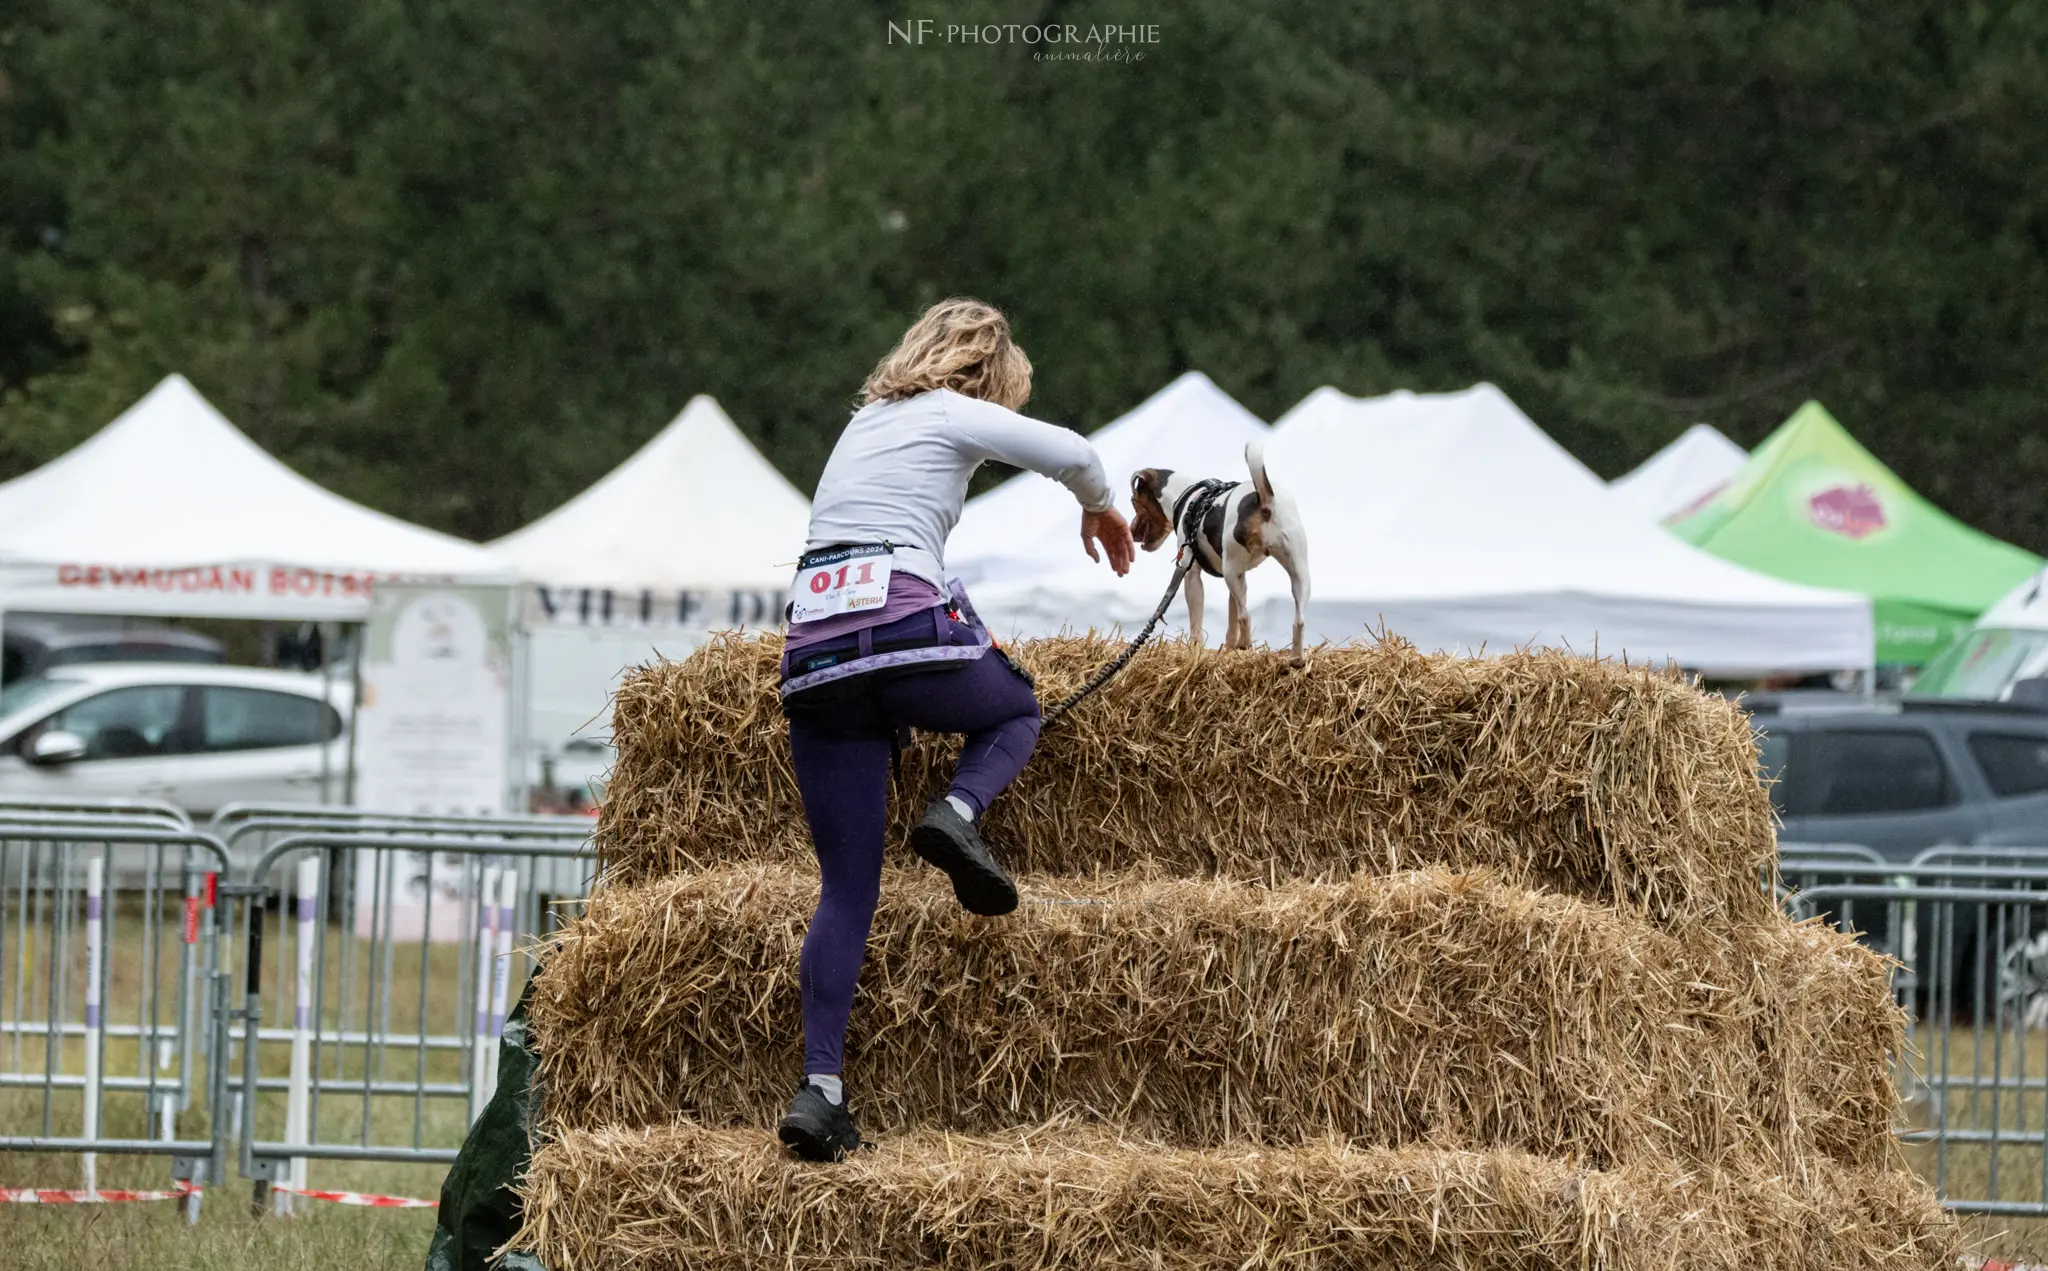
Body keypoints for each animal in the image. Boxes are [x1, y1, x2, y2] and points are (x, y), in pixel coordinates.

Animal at [1122, 442, 1310, 663]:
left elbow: (1196, 626)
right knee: (1298, 620)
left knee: (1246, 616)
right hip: (1296, 573)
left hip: (1231, 573)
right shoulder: (1238, 579)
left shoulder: (1190, 574)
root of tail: (1264, 499)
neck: (1187, 495)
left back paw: (1245, 644)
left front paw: (1195, 653)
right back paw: (1296, 659)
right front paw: (1228, 652)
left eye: (1133, 501)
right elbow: (1231, 622)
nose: (1130, 532)